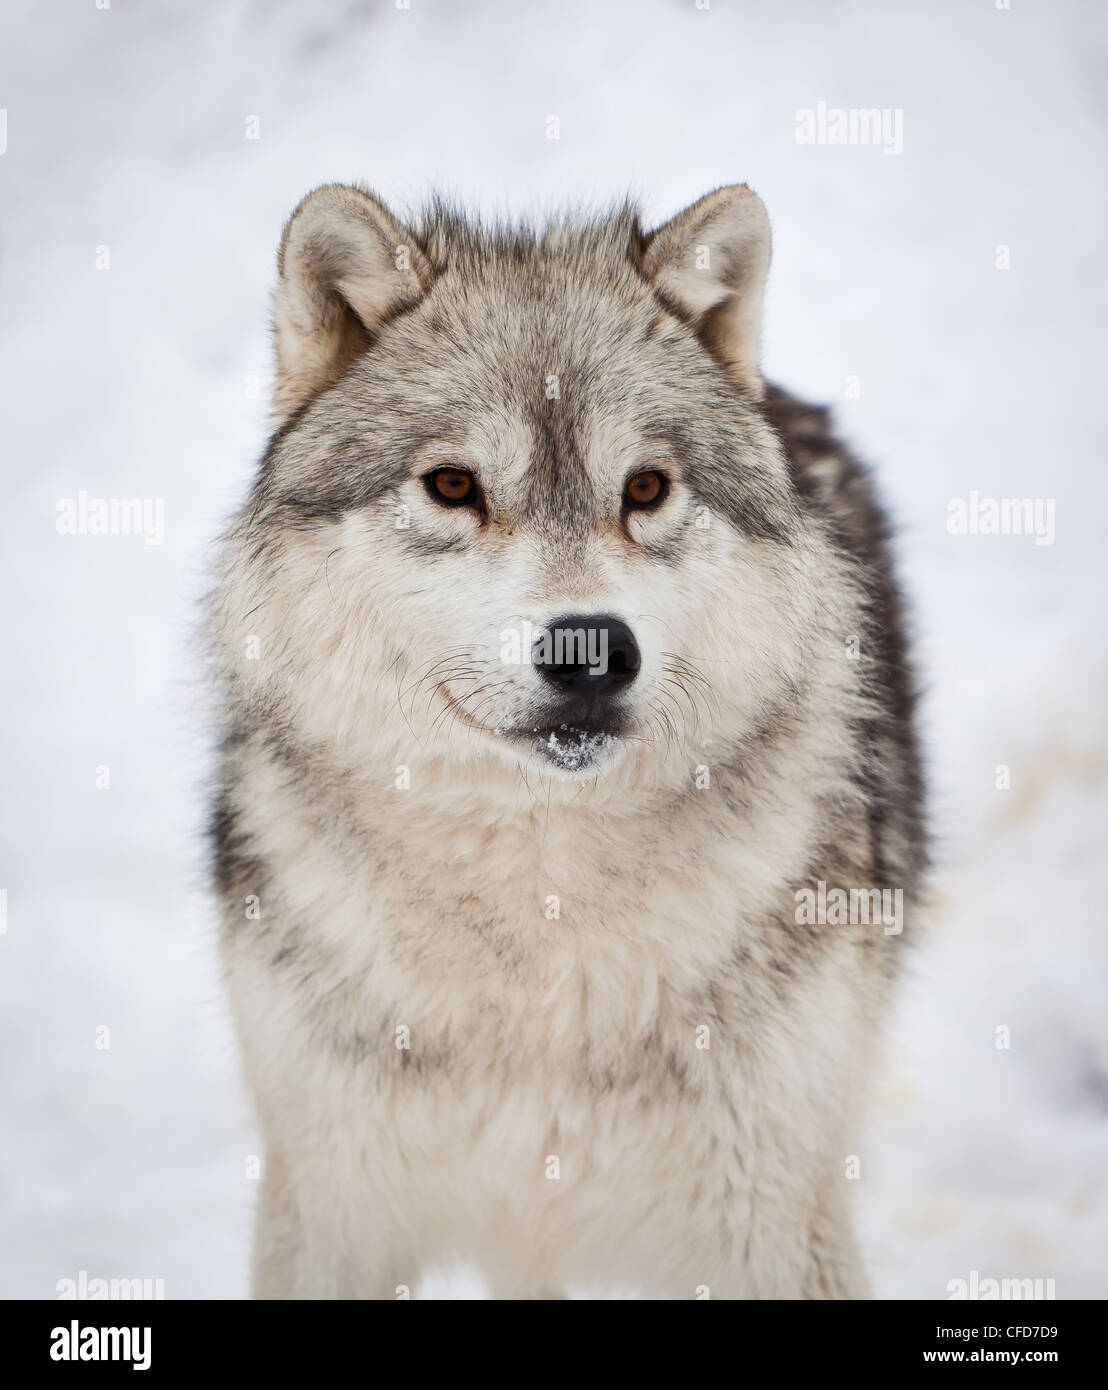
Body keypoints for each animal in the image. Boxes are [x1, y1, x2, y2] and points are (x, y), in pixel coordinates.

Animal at [209, 182, 925, 1299]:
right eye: (453, 486)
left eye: (646, 489)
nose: (591, 651)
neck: (539, 919)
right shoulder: (331, 1212)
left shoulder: (772, 1224)